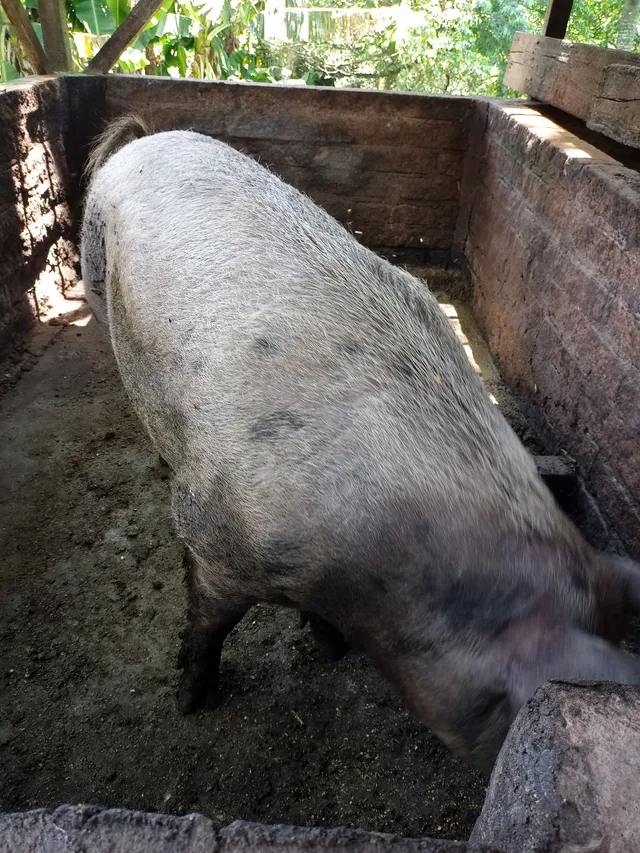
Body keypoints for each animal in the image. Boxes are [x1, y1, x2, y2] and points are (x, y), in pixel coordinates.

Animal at [80, 114, 640, 770]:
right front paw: (191, 702)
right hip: (96, 278)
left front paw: (329, 650)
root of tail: (144, 139)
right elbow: (207, 623)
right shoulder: (216, 535)